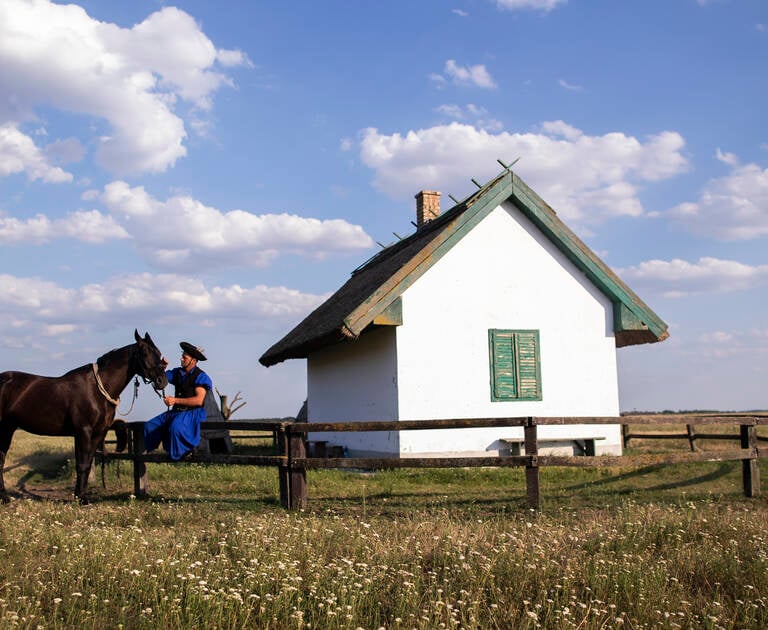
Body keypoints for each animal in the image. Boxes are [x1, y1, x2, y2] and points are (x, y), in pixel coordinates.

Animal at [0, 330, 168, 503]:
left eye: (158, 353)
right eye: (145, 353)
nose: (162, 381)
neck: (96, 390)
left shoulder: (98, 433)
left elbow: (86, 464)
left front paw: (80, 495)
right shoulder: (83, 431)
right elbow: (81, 464)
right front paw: (81, 498)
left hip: (8, 428)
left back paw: (4, 497)